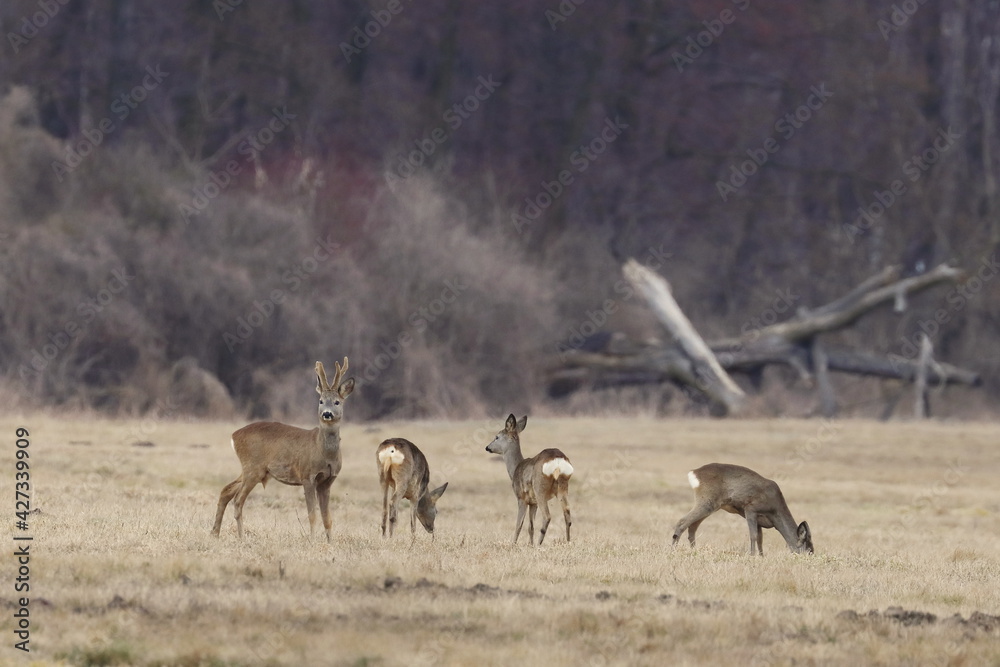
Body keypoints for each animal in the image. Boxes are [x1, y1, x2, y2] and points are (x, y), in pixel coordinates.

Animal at [211, 358, 355, 542]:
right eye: (321, 401)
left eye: (337, 401)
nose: (327, 414)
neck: (323, 452)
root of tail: (234, 435)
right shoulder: (307, 475)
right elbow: (312, 515)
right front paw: (312, 541)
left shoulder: (328, 481)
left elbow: (327, 518)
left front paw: (330, 543)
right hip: (253, 468)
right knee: (238, 500)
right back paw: (241, 538)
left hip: (252, 470)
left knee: (226, 491)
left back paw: (214, 533)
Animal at [485, 414, 573, 546]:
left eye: (497, 437)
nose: (487, 447)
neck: (515, 468)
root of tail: (558, 460)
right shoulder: (533, 503)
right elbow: (530, 527)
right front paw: (529, 545)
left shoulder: (521, 498)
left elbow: (518, 525)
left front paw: (514, 544)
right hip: (563, 487)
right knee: (567, 515)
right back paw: (568, 542)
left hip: (540, 488)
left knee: (547, 516)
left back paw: (539, 544)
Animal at [671, 463, 813, 556]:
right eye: (809, 550)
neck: (775, 510)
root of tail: (694, 472)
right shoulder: (750, 509)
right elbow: (753, 536)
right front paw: (752, 556)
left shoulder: (759, 520)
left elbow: (760, 538)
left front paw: (761, 556)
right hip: (707, 502)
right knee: (682, 522)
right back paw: (673, 550)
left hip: (710, 505)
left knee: (692, 527)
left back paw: (694, 551)